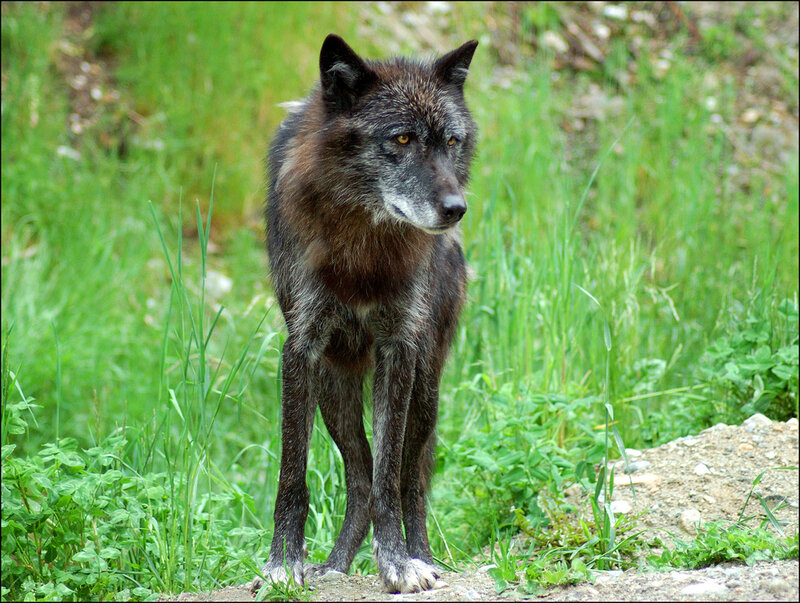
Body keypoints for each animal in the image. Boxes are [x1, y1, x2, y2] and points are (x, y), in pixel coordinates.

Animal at [253, 34, 478, 594]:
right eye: (401, 138)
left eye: (451, 141)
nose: (456, 208)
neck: (362, 244)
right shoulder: (301, 347)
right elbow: (294, 473)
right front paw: (282, 564)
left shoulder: (399, 348)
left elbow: (390, 477)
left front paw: (397, 563)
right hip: (334, 391)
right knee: (358, 475)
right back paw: (334, 565)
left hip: (424, 386)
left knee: (408, 478)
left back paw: (421, 556)